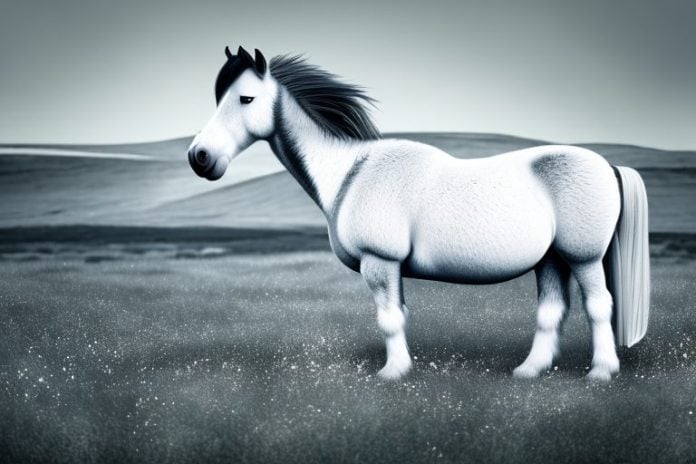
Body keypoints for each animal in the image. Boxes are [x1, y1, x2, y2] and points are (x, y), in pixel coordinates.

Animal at [188, 46, 650, 381]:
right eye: (218, 99)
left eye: (246, 98)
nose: (199, 157)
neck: (351, 171)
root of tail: (608, 166)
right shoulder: (392, 269)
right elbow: (401, 316)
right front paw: (401, 368)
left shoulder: (380, 262)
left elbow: (390, 320)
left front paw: (392, 374)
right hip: (551, 260)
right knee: (552, 311)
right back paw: (528, 371)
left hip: (583, 258)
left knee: (599, 306)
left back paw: (600, 373)